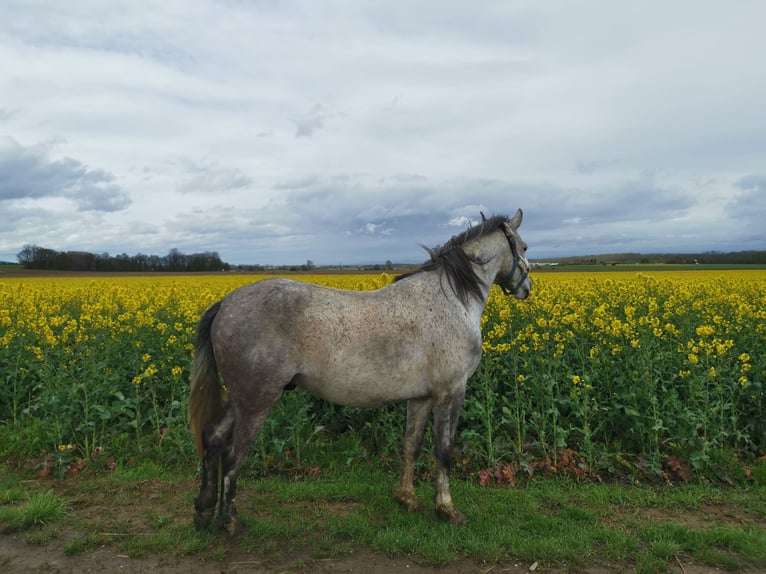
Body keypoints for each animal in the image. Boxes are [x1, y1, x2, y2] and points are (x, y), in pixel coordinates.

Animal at [188, 209, 532, 532]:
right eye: (525, 246)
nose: (526, 288)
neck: (453, 299)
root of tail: (226, 304)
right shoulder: (451, 391)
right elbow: (444, 450)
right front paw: (447, 509)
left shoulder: (421, 397)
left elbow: (411, 444)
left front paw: (407, 499)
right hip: (257, 400)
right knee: (233, 455)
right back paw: (228, 520)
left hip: (241, 397)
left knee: (212, 438)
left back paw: (203, 512)